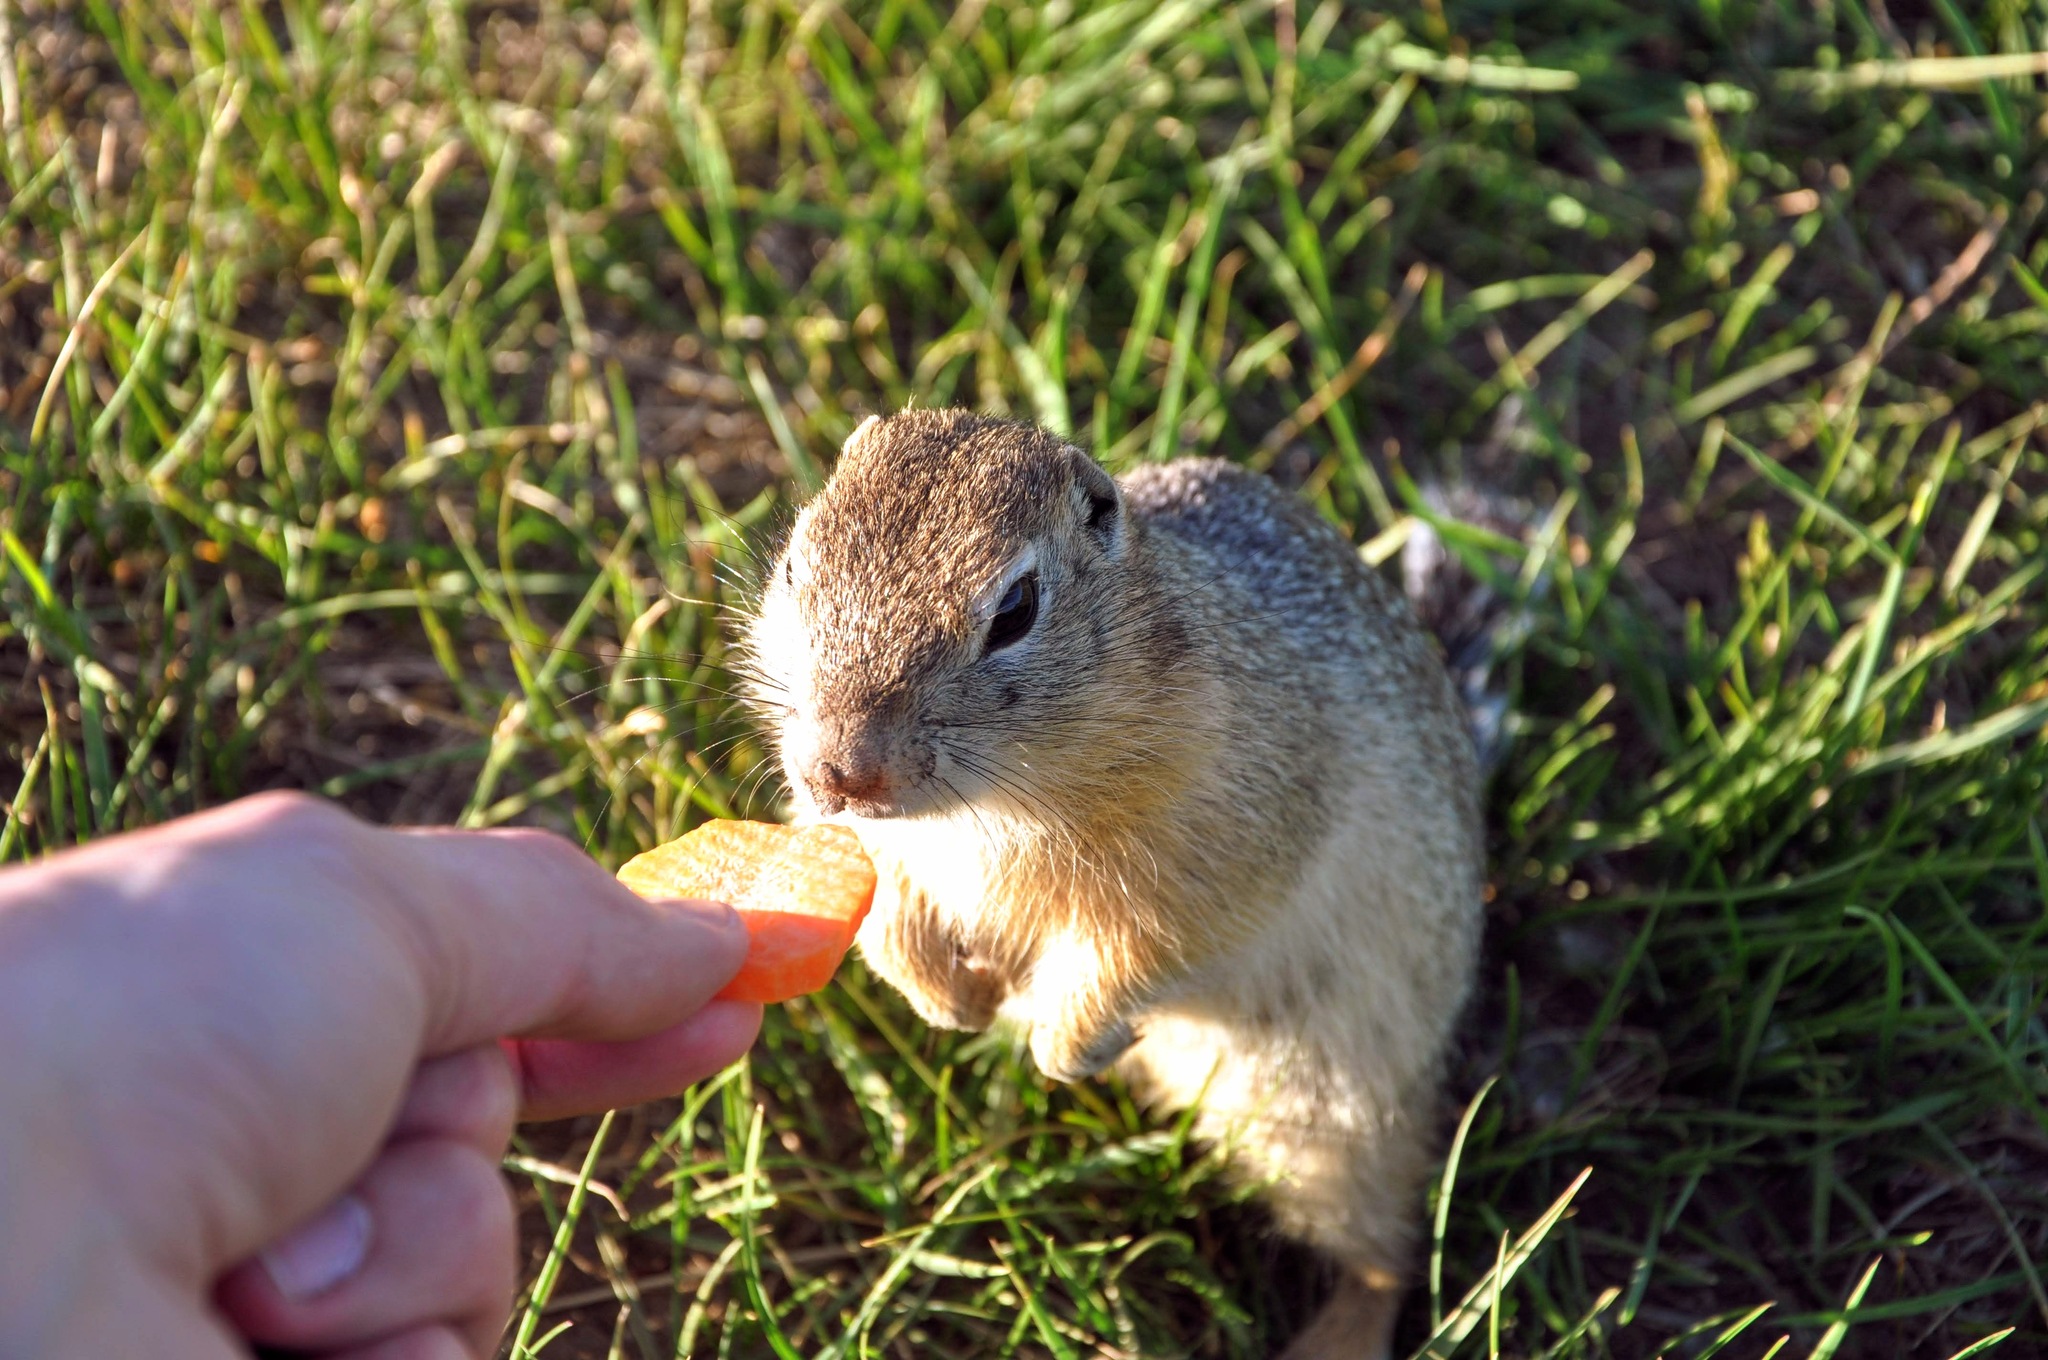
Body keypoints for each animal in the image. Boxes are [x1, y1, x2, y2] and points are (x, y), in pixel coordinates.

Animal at [745, 409, 1482, 1351]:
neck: (977, 810)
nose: (837, 771)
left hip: (1333, 1119)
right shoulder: (870, 844)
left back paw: (1338, 1337)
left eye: (1015, 610)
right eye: (794, 565)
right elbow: (879, 906)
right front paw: (949, 999)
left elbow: (1145, 953)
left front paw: (1065, 1043)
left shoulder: (1215, 862)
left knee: (1387, 1248)